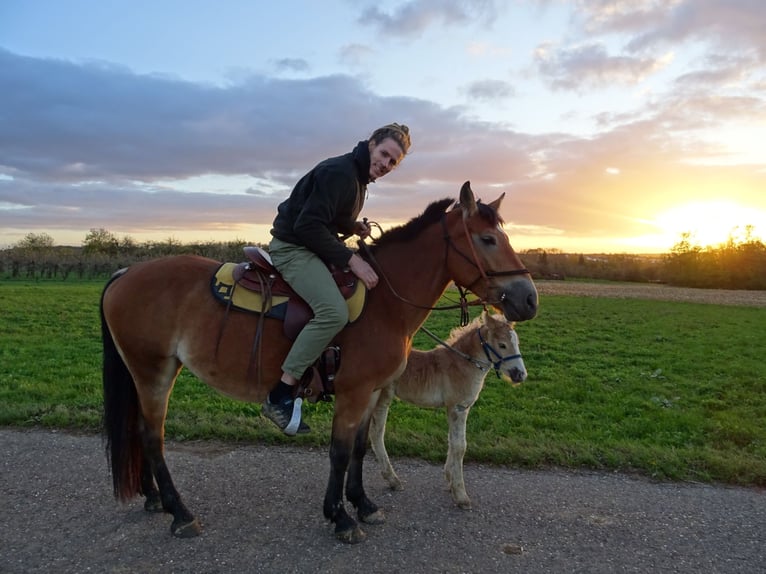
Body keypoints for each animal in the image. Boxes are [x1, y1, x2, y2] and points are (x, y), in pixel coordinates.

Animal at [370, 312, 528, 510]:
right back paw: (393, 480)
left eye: (517, 342)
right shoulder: (457, 408)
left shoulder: (457, 409)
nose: (520, 375)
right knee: (376, 434)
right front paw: (461, 495)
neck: (461, 364)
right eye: (502, 345)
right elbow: (460, 446)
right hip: (381, 398)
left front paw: (449, 479)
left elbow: (452, 442)